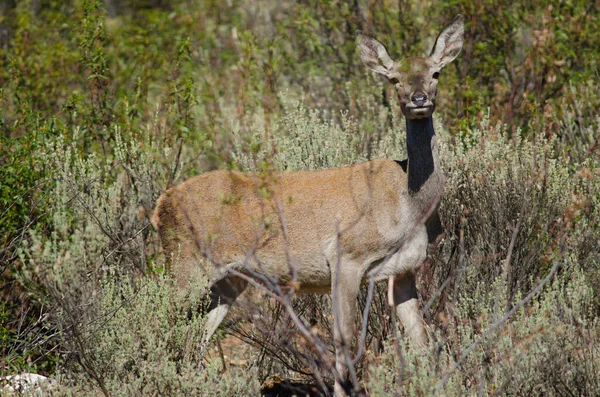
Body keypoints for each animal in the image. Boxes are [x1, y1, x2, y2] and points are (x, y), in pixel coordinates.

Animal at [154, 14, 464, 396]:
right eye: (393, 78)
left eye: (436, 73)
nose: (418, 99)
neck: (410, 205)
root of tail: (161, 205)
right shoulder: (346, 256)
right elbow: (345, 341)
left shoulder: (404, 270)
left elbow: (422, 341)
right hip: (185, 265)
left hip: (229, 279)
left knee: (195, 338)